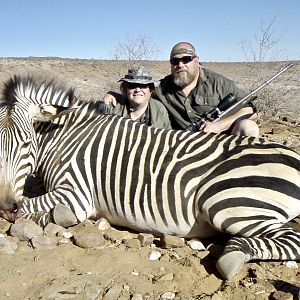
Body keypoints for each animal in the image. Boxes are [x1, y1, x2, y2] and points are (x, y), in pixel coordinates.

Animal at [0, 75, 298, 282]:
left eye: (26, 143)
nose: (6, 205)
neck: (63, 137)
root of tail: (293, 156)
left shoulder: (76, 194)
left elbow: (32, 206)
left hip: (227, 203)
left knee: (289, 239)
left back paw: (233, 255)